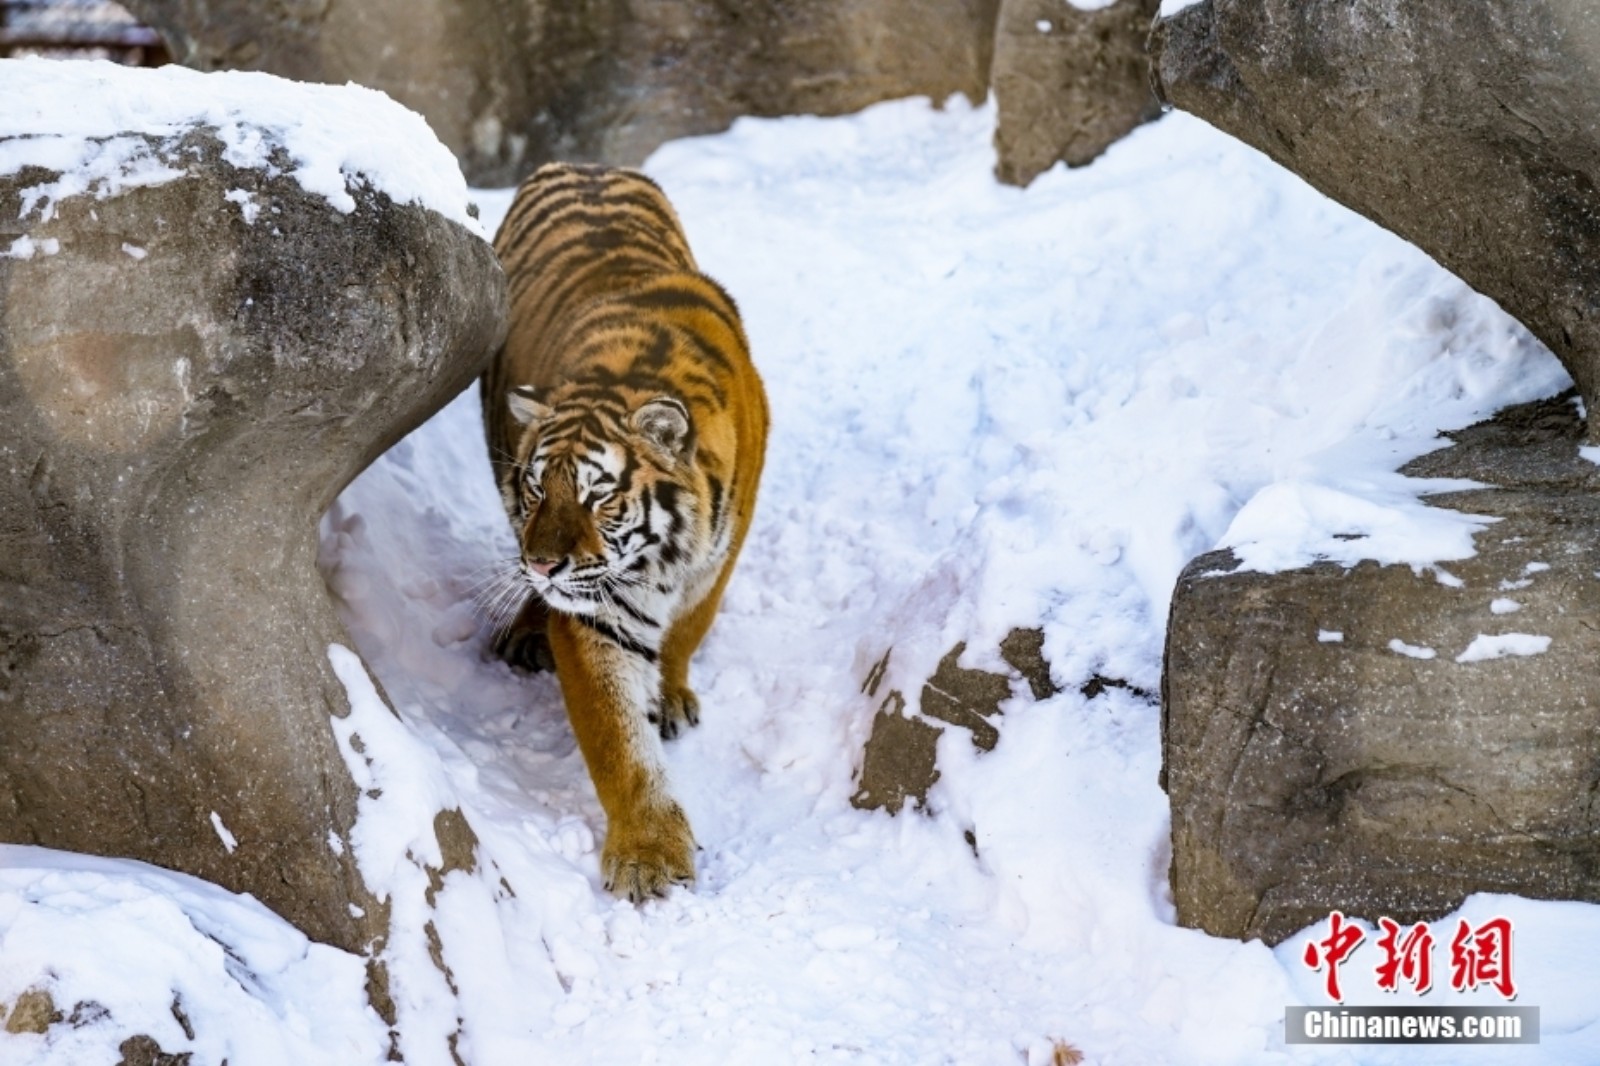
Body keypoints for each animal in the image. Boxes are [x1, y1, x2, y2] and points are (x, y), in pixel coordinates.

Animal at [480, 161, 768, 902]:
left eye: (598, 494)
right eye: (536, 487)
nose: (543, 565)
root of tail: (584, 162)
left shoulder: (720, 553)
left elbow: (690, 627)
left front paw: (670, 696)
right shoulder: (595, 609)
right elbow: (618, 742)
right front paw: (650, 855)